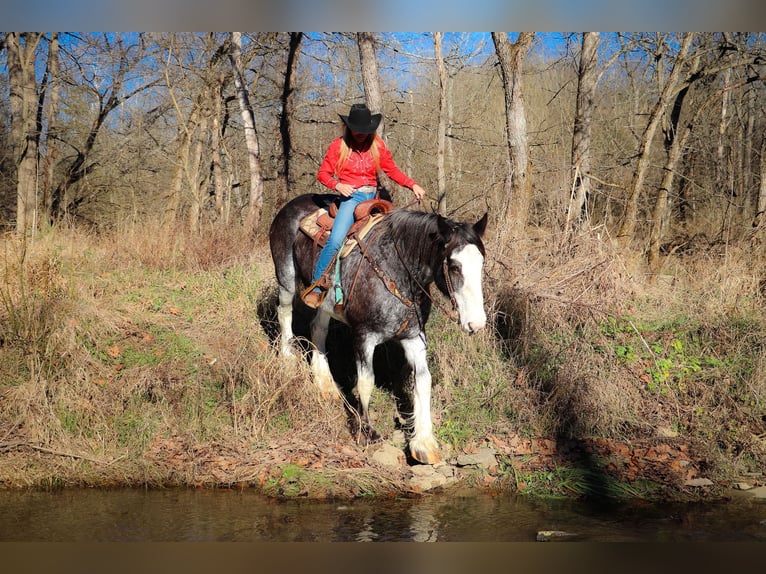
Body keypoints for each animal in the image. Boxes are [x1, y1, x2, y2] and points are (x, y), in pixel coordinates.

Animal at [268, 196, 488, 466]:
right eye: (454, 266)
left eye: (481, 263)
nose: (476, 323)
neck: (397, 271)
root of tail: (293, 203)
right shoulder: (364, 336)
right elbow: (366, 382)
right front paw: (367, 432)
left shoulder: (414, 337)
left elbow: (423, 381)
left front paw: (424, 442)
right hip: (286, 278)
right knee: (284, 312)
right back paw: (287, 360)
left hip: (325, 302)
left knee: (318, 328)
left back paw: (325, 383)